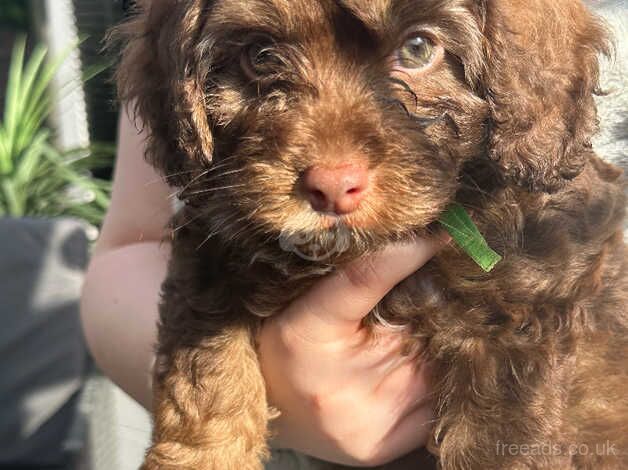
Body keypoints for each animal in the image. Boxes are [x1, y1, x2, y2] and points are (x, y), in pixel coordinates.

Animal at [114, 0, 628, 468]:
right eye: (260, 56)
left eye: (418, 48)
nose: (333, 187)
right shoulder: (212, 254)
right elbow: (205, 379)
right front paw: (201, 454)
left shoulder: (520, 324)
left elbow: (502, 441)